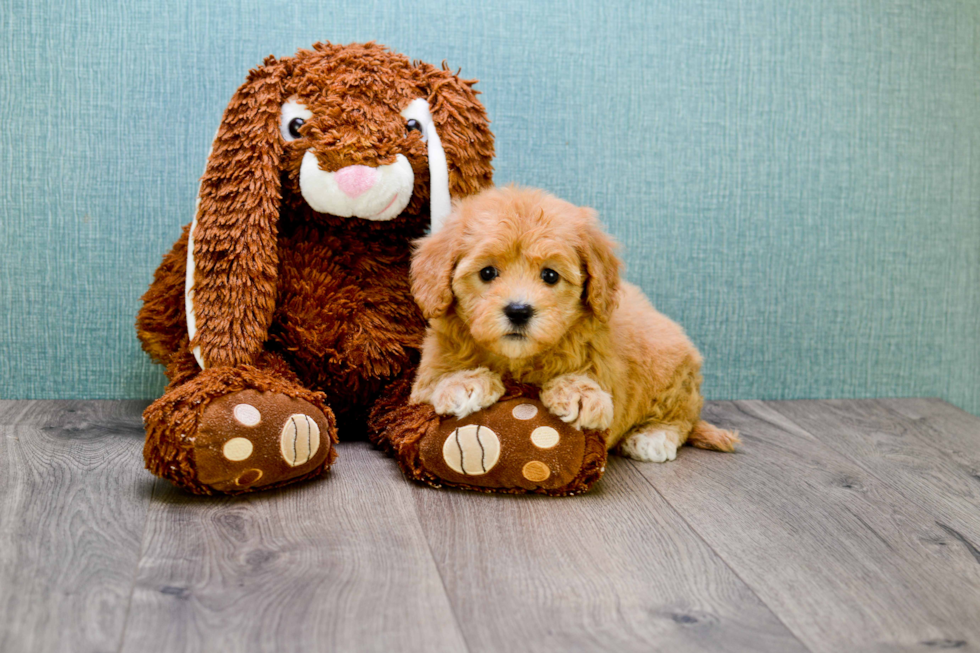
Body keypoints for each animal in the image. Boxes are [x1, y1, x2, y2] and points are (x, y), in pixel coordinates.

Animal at [410, 186, 740, 460]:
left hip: (672, 373)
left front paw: (580, 394)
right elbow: (435, 381)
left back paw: (652, 437)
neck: (518, 361)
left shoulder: (603, 362)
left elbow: (590, 378)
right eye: (487, 273)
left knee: (680, 418)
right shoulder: (425, 376)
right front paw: (465, 383)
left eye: (550, 275)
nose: (518, 311)